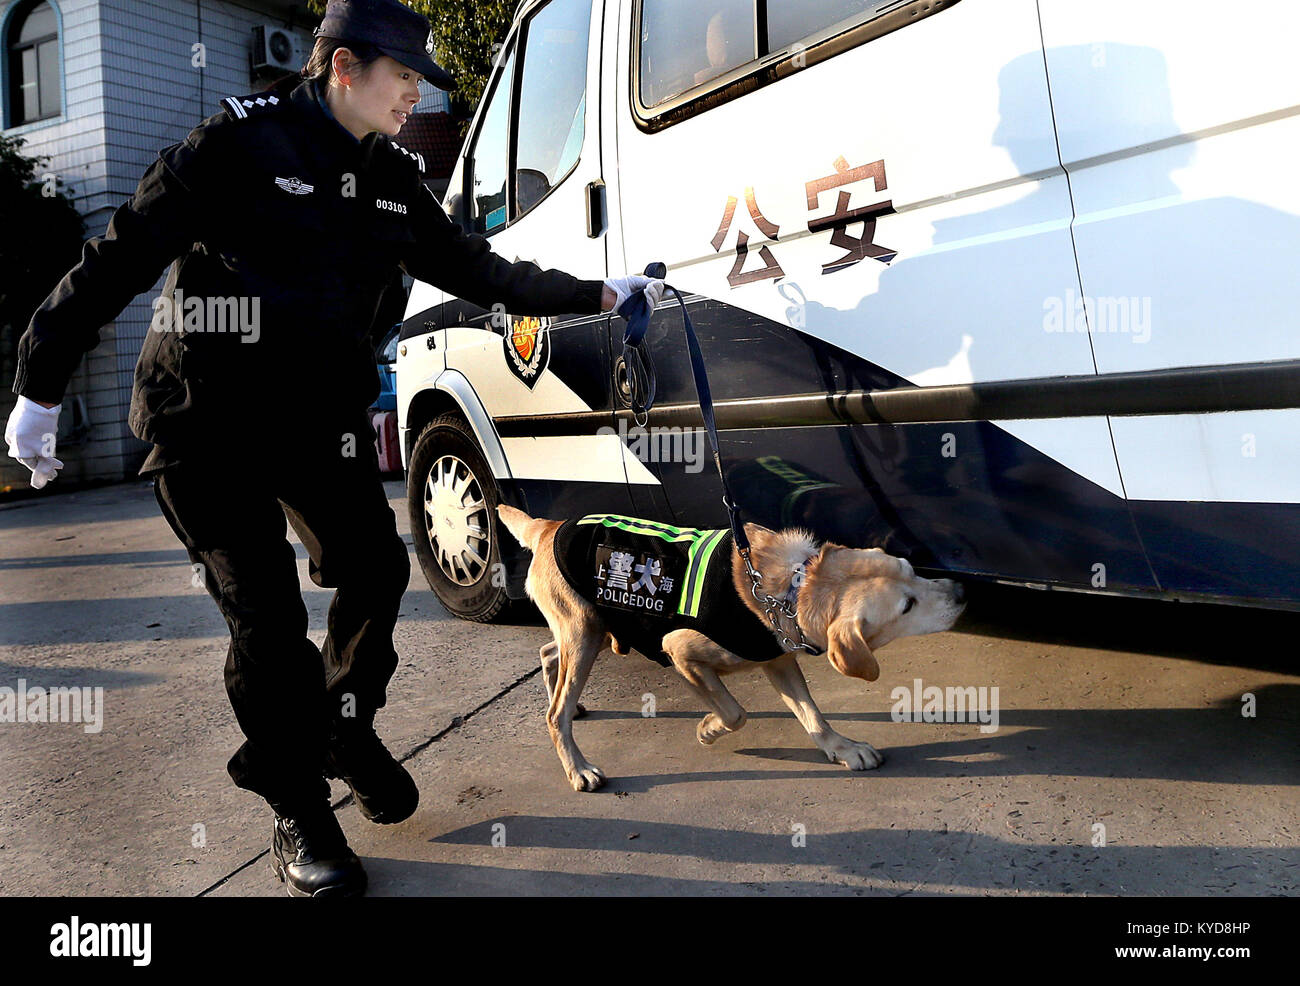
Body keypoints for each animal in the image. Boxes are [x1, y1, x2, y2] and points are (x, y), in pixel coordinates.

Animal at [496, 509, 967, 796]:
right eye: (907, 606)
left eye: (912, 569)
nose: (961, 590)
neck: (791, 588)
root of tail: (550, 525)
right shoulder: (679, 650)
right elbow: (735, 712)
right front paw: (708, 727)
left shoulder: (779, 659)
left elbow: (812, 715)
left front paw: (841, 748)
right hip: (584, 632)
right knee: (554, 713)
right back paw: (578, 767)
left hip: (585, 630)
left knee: (548, 653)